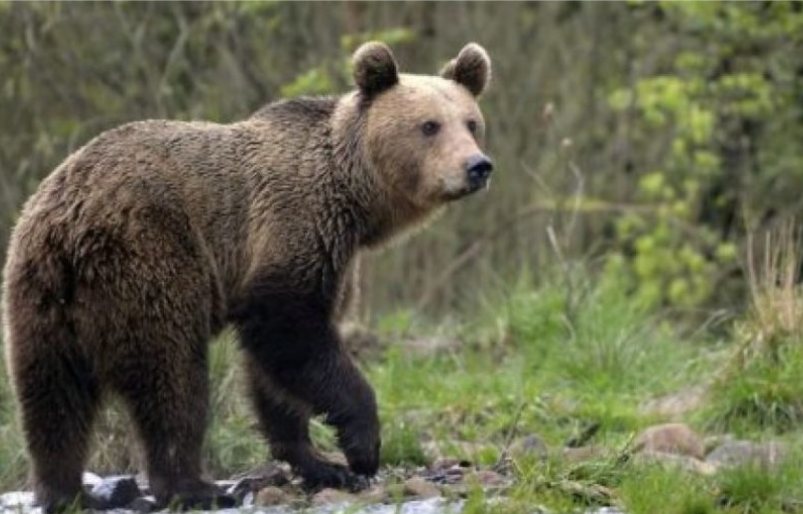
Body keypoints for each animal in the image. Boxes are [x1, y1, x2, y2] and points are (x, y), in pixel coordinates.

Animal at [1, 41, 493, 511]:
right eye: (429, 125)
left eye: (471, 123)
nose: (478, 166)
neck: (354, 198)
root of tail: (70, 223)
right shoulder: (295, 227)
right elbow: (290, 331)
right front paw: (361, 448)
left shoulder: (335, 257)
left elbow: (275, 371)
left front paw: (320, 463)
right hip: (149, 258)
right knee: (172, 377)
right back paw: (193, 487)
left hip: (39, 296)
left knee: (52, 399)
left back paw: (66, 492)